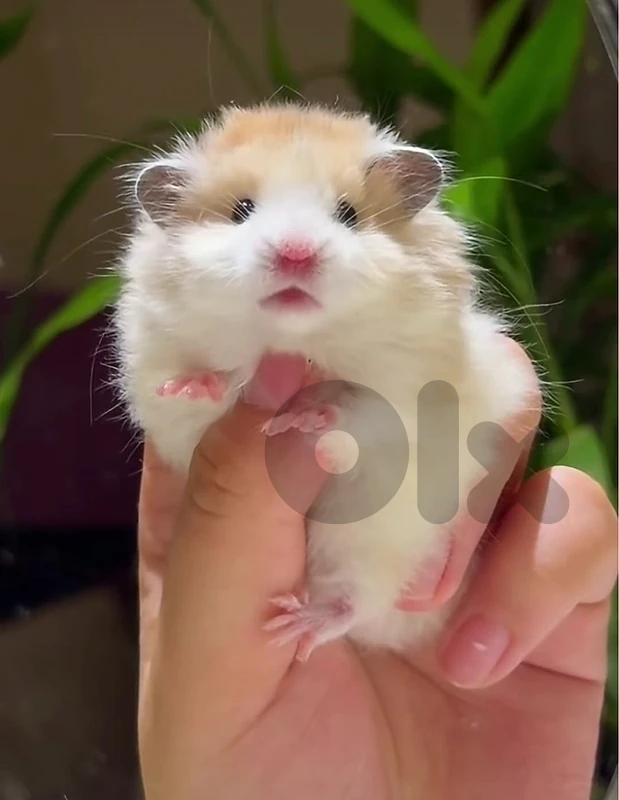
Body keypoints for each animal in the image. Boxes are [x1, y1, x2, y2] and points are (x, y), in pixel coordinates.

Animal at [115, 103, 535, 658]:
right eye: (241, 209)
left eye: (349, 214)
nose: (296, 253)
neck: (300, 340)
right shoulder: (163, 389)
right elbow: (209, 389)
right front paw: (195, 383)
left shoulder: (421, 383)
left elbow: (363, 406)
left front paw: (306, 415)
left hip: (371, 546)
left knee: (356, 603)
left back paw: (298, 625)